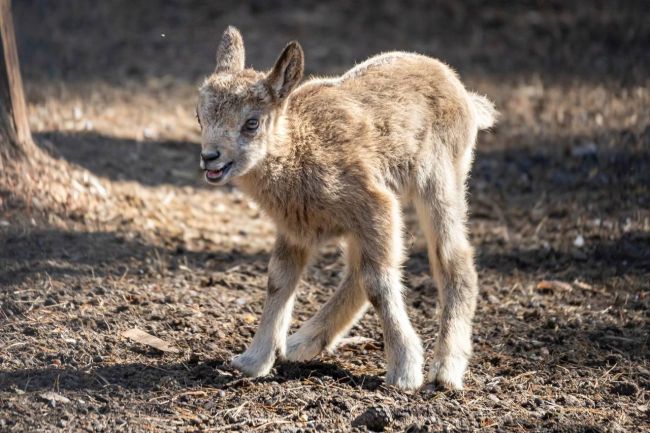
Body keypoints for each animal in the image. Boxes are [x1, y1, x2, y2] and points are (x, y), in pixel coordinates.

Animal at [195, 26, 494, 388]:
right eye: (199, 116)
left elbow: (378, 284)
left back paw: (446, 370)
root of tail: (462, 91)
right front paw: (251, 362)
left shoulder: (376, 205)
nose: (210, 158)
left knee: (452, 259)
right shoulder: (295, 228)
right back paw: (301, 343)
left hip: (440, 178)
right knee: (356, 272)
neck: (299, 148)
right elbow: (279, 280)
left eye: (251, 123)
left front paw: (404, 373)